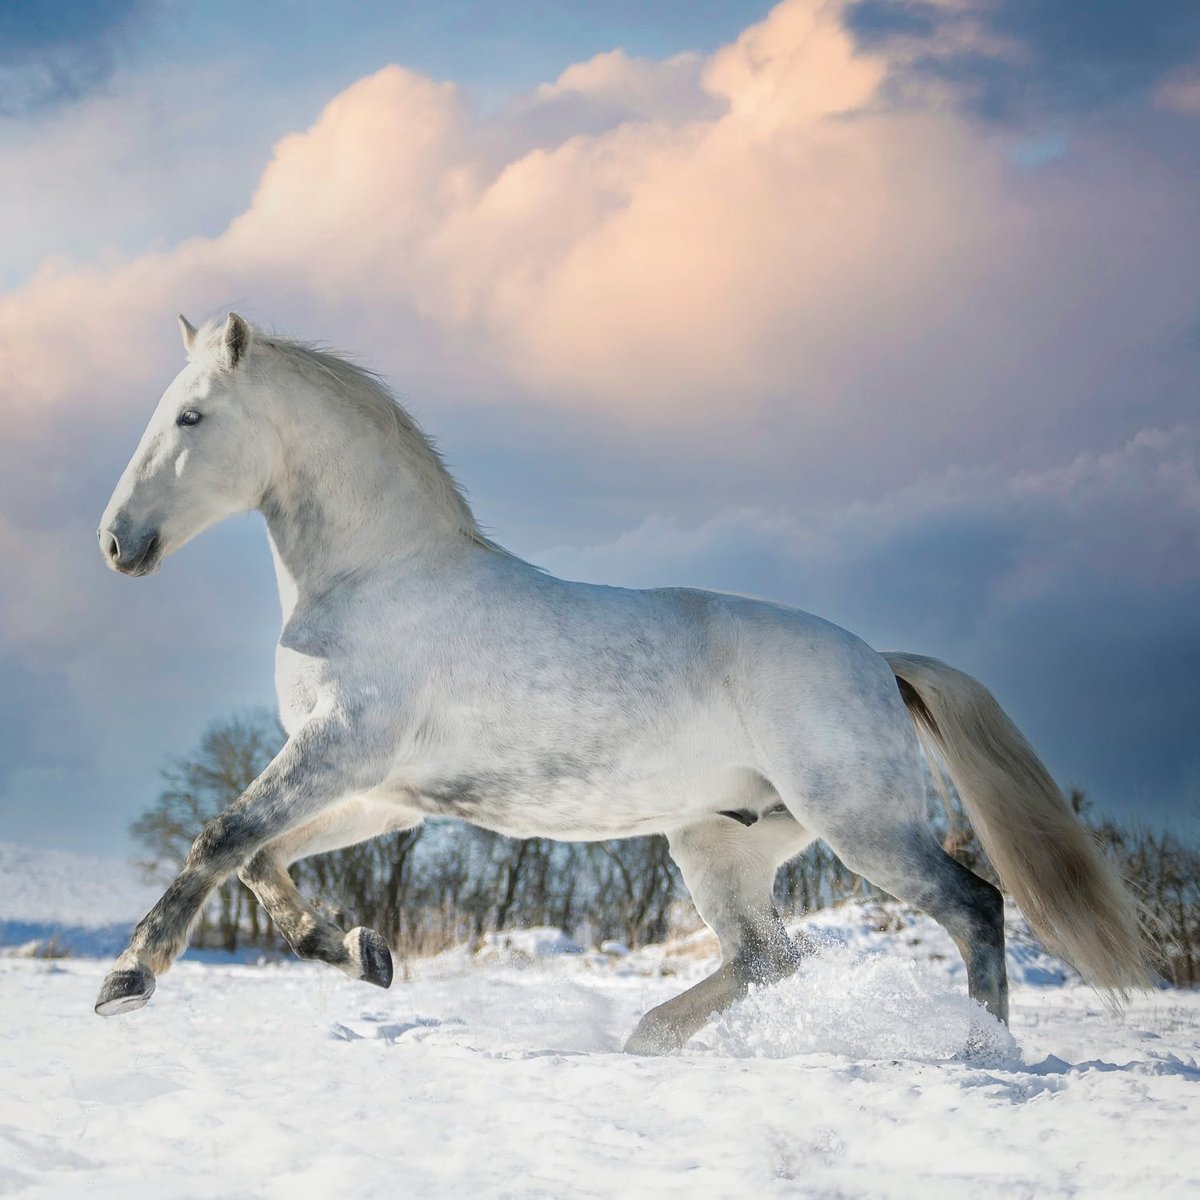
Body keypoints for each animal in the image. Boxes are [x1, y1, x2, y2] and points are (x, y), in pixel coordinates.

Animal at [94, 312, 1149, 1052]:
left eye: (190, 416)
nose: (116, 543)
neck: (376, 575)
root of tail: (880, 665)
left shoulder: (339, 753)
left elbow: (221, 838)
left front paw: (127, 981)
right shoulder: (381, 793)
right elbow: (259, 861)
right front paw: (366, 955)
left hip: (865, 827)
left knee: (975, 908)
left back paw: (987, 1056)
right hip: (723, 843)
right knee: (767, 956)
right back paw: (647, 1041)